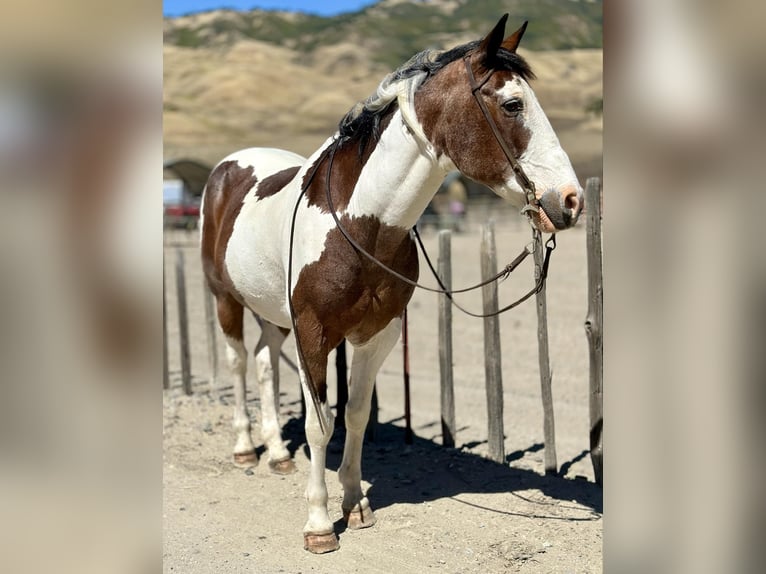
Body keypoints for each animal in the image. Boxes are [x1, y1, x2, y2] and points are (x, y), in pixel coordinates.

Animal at [200, 15, 583, 553]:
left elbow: (356, 415)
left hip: (274, 314)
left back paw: (277, 453)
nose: (571, 200)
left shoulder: (376, 335)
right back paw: (244, 449)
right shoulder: (314, 335)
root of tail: (228, 166)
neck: (361, 224)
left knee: (262, 361)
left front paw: (354, 503)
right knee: (237, 363)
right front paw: (319, 524)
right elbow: (320, 424)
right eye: (513, 105)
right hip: (225, 299)